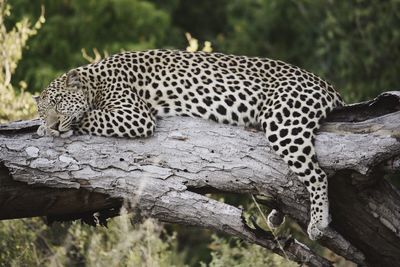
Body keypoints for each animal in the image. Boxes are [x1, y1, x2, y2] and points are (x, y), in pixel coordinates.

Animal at [36, 49, 346, 241]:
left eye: (59, 104)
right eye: (42, 110)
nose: (52, 124)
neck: (95, 81)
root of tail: (328, 86)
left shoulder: (134, 115)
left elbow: (89, 117)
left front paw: (56, 128)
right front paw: (42, 128)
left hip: (283, 122)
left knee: (317, 174)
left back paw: (318, 222)